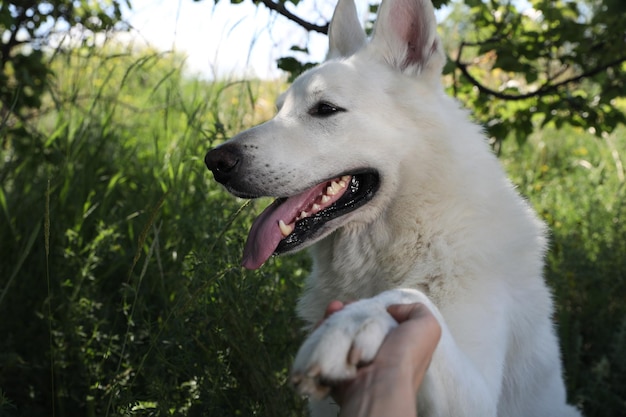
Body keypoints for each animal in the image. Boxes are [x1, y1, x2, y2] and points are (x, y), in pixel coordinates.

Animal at [204, 0, 580, 412]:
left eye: (325, 109)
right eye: (278, 110)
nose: (214, 162)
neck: (417, 231)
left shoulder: (478, 397)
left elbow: (410, 296)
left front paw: (351, 326)